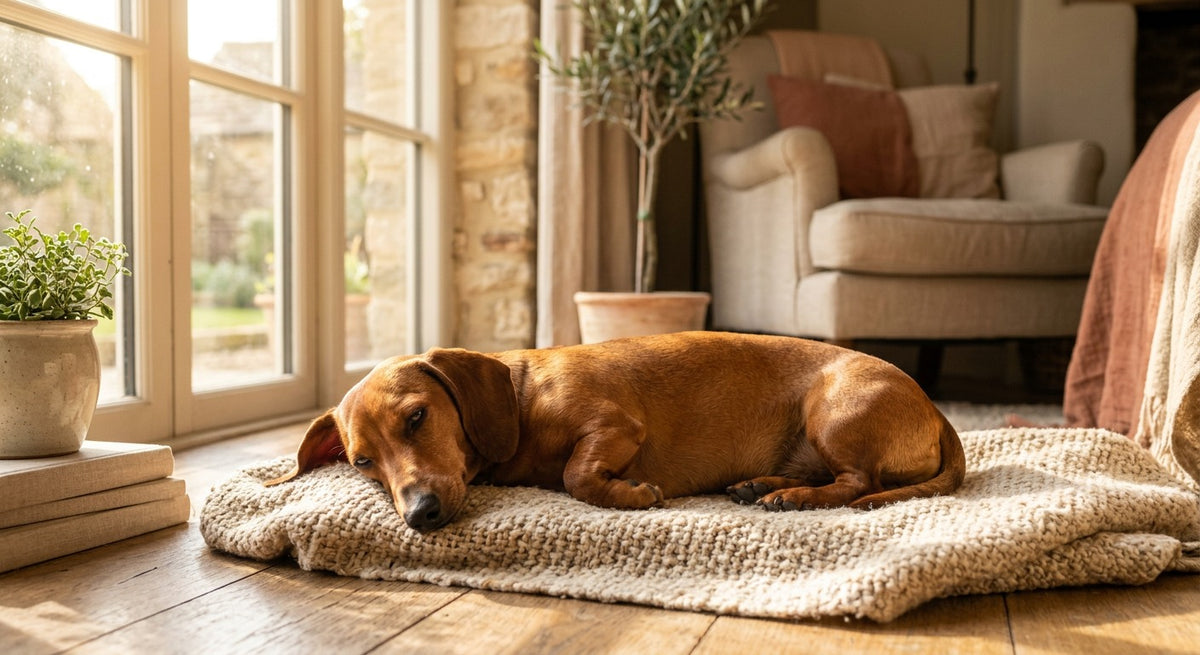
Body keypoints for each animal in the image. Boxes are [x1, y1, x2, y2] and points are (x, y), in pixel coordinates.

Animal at [266, 331, 965, 531]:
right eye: (361, 462)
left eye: (417, 416)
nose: (420, 517)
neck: (521, 400)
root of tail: (935, 411)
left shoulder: (615, 426)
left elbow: (579, 475)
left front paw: (633, 494)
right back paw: (761, 485)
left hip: (832, 410)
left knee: (856, 483)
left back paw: (791, 497)